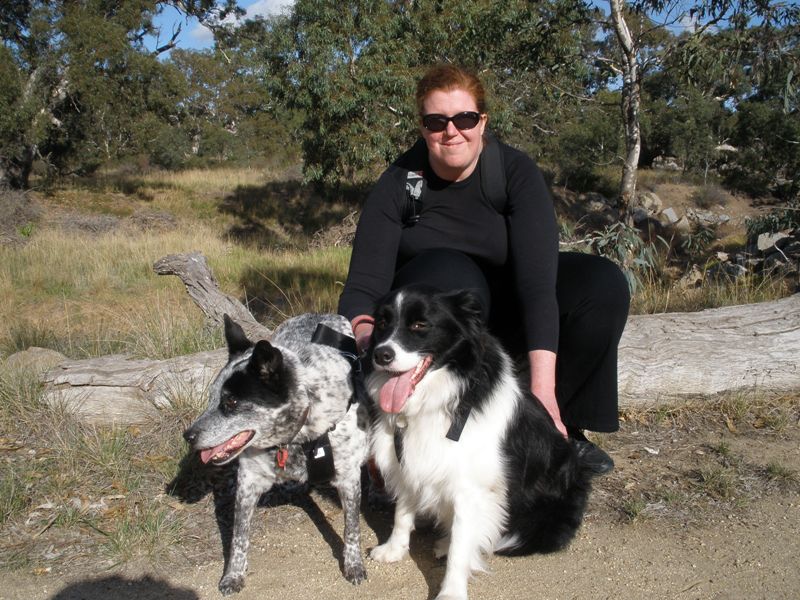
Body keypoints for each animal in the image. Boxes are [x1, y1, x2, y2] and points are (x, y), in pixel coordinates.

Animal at [184, 314, 368, 596]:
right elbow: (239, 537)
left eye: (231, 403)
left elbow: (352, 528)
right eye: (211, 398)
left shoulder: (348, 478)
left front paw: (353, 564)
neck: (299, 434)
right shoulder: (249, 482)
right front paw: (233, 575)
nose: (188, 436)